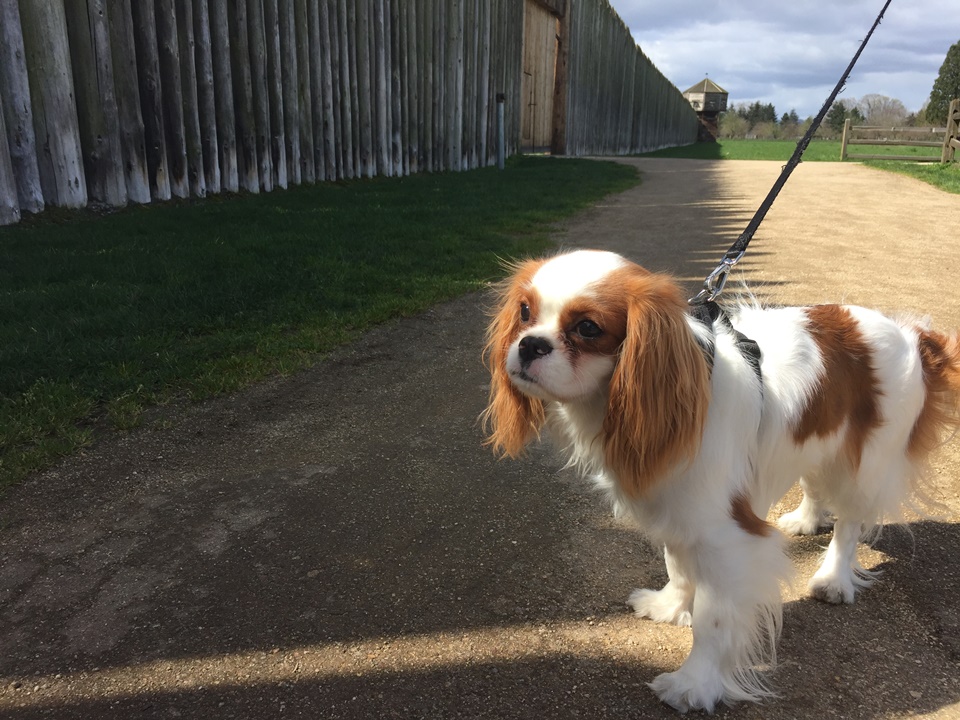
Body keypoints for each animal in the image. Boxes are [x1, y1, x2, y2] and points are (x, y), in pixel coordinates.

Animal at [484, 250, 960, 712]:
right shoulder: (678, 506)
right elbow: (677, 565)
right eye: (524, 312)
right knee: (813, 483)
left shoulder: (726, 535)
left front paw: (695, 685)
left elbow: (713, 620)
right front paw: (670, 607)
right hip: (814, 438)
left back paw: (834, 579)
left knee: (849, 525)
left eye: (587, 328)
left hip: (864, 465)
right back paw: (805, 520)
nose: (529, 345)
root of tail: (913, 334)